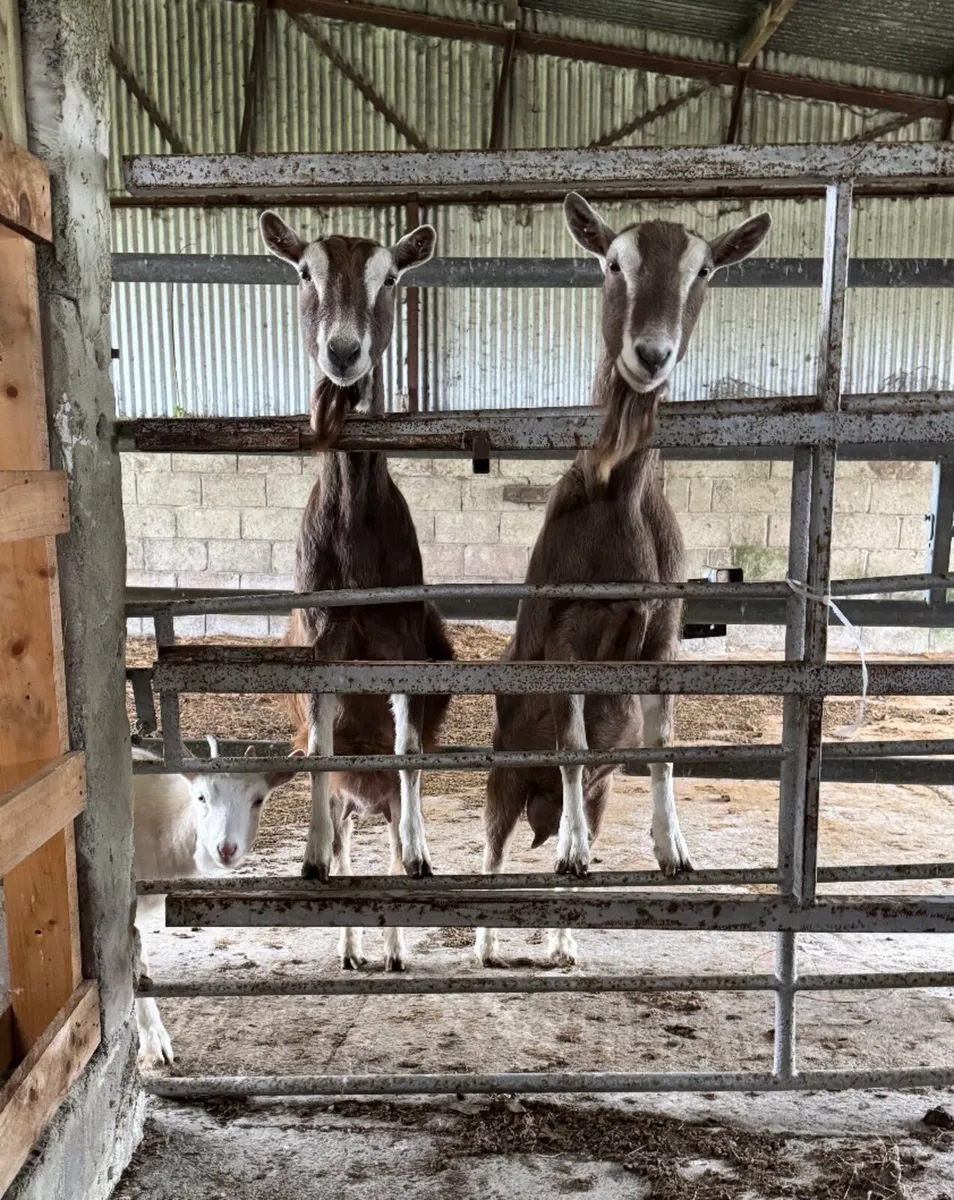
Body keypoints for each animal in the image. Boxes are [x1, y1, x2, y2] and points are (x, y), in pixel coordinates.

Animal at [260, 212, 454, 972]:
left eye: (391, 276)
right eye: (303, 271)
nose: (343, 352)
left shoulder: (402, 638)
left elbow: (408, 753)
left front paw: (421, 853)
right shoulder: (321, 636)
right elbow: (320, 742)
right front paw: (308, 856)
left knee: (389, 826)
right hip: (350, 796)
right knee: (348, 849)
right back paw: (349, 944)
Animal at [475, 194, 772, 967]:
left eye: (705, 270)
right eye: (613, 262)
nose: (651, 355)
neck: (621, 500)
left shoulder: (664, 634)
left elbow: (663, 744)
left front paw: (674, 850)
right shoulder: (566, 639)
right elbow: (574, 742)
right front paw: (576, 849)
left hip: (595, 795)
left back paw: (561, 940)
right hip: (504, 773)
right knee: (493, 851)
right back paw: (491, 936)